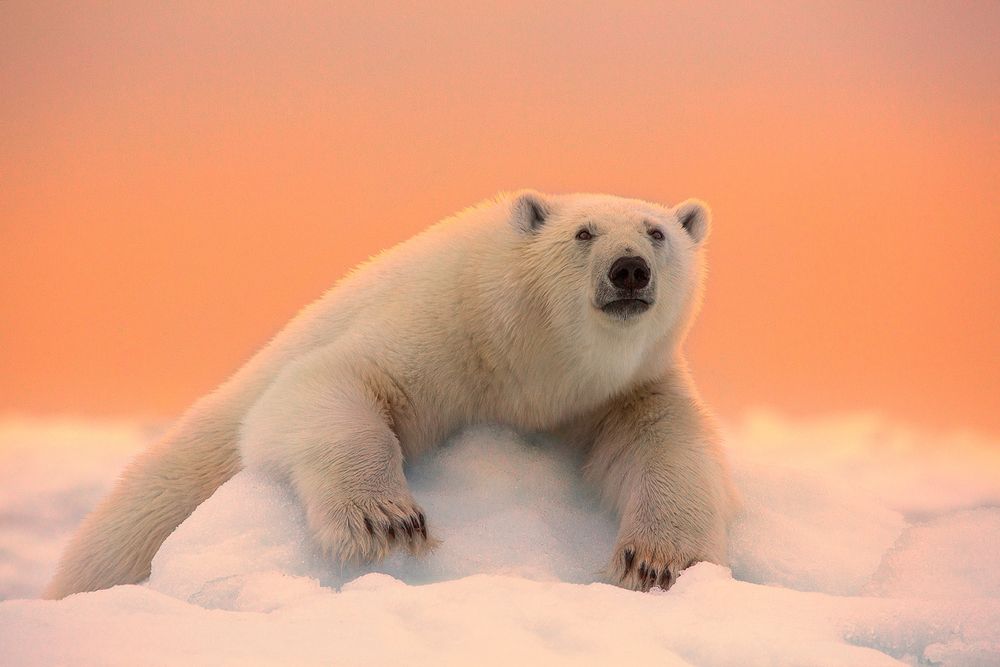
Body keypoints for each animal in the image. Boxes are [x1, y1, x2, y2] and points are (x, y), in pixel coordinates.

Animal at [45, 190, 737, 598]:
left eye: (656, 233)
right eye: (584, 233)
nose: (629, 270)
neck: (537, 358)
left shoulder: (625, 389)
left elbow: (666, 448)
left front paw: (655, 562)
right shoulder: (449, 327)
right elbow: (332, 383)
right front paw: (386, 522)